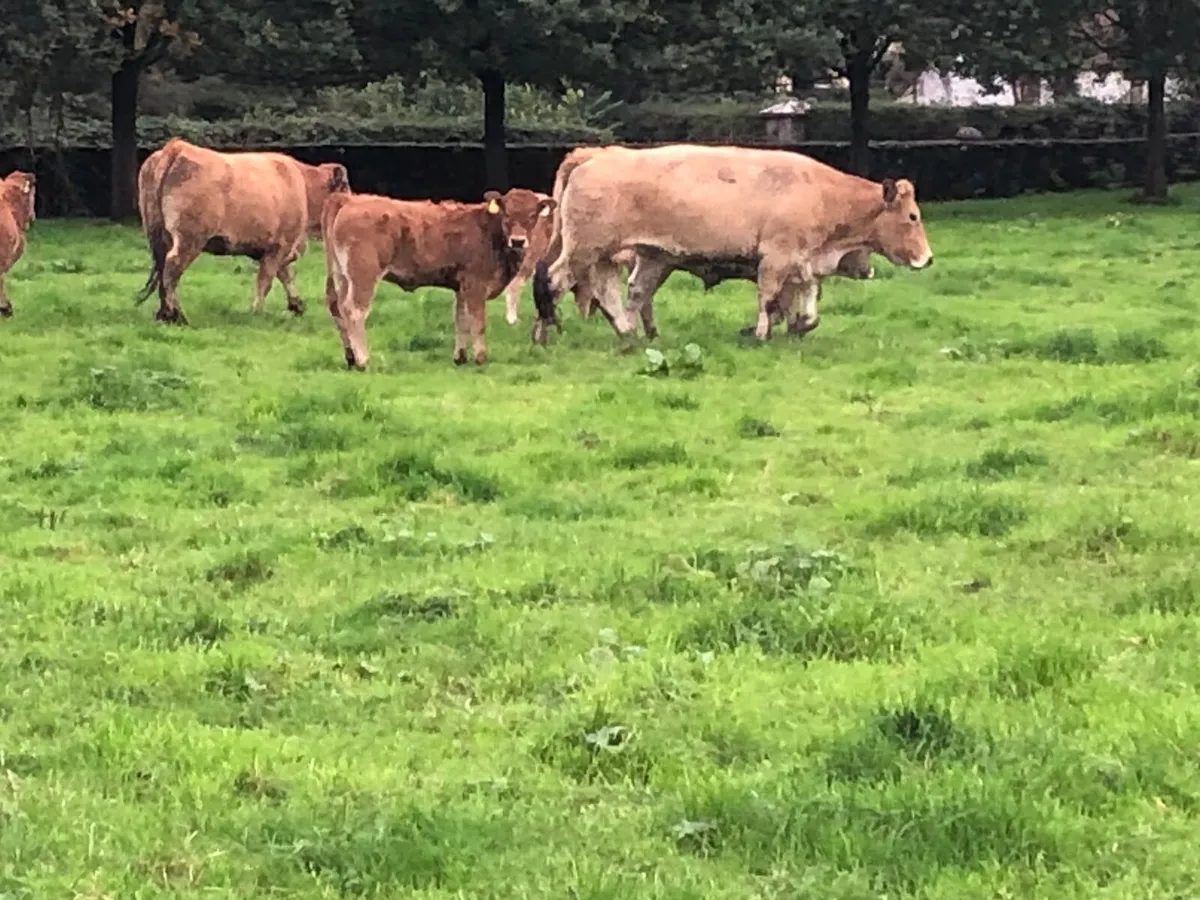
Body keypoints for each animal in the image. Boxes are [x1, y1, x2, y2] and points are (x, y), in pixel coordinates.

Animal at [134, 137, 350, 325]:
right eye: (345, 187)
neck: (304, 185)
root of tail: (178, 147)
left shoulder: (279, 248)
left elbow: (285, 275)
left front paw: (296, 305)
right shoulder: (281, 245)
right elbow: (266, 280)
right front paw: (257, 311)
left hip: (159, 236)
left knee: (162, 268)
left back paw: (164, 314)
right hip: (189, 240)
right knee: (172, 269)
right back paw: (176, 315)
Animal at [322, 187, 555, 370]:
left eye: (532, 215)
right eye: (507, 214)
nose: (518, 241)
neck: (489, 232)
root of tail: (349, 199)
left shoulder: (462, 287)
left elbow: (461, 320)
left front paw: (460, 357)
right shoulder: (476, 284)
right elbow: (478, 322)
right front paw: (481, 357)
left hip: (341, 276)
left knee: (337, 308)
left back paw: (351, 357)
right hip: (363, 275)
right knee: (354, 311)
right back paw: (363, 360)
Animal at [531, 143, 932, 344]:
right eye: (913, 217)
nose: (927, 259)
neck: (821, 193)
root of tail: (592, 156)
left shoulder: (800, 262)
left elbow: (807, 300)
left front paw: (798, 327)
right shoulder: (776, 260)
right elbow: (769, 298)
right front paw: (760, 333)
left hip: (639, 257)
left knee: (619, 290)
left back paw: (630, 334)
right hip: (585, 251)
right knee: (553, 280)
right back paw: (543, 333)